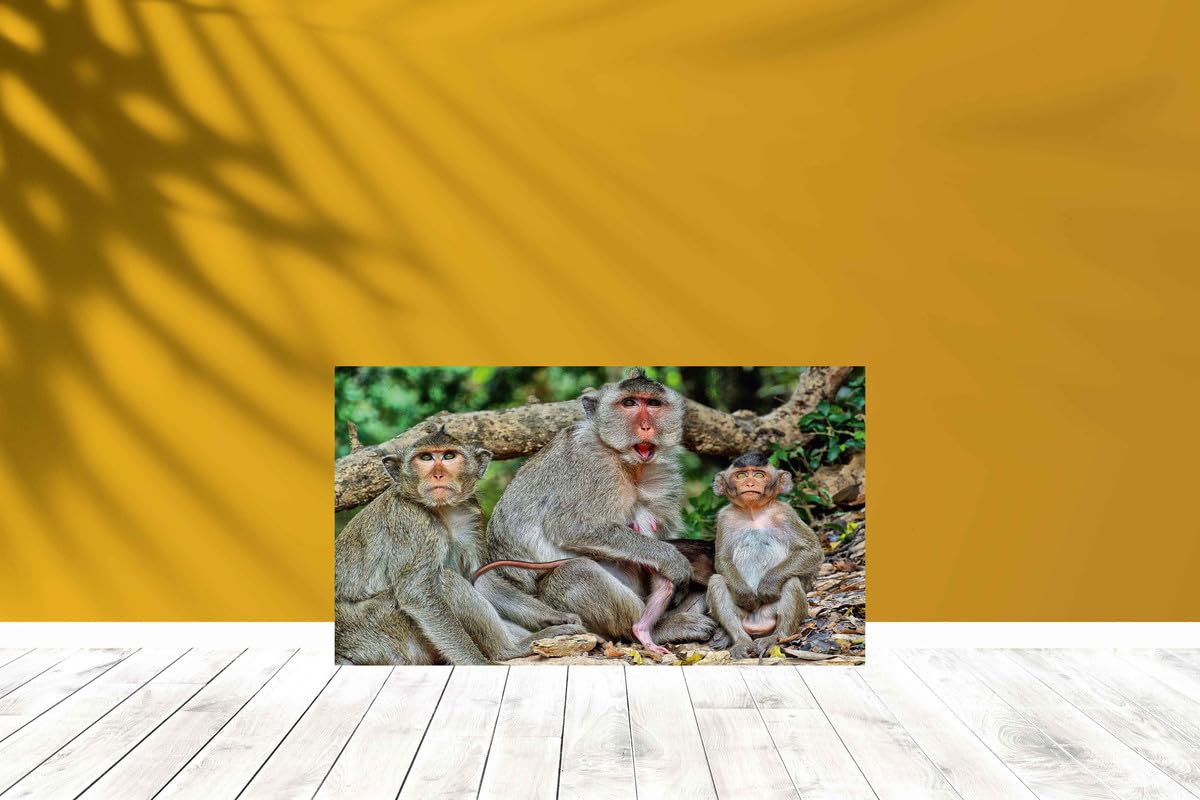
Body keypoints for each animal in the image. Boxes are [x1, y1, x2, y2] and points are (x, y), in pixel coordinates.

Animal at [334, 426, 582, 665]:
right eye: (425, 458)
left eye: (449, 456)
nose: (438, 474)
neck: (442, 510)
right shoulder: (412, 522)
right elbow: (418, 594)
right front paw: (478, 664)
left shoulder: (471, 514)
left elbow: (482, 579)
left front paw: (555, 615)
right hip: (378, 629)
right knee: (448, 581)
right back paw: (508, 650)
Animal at [476, 369, 716, 655]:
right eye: (629, 403)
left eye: (654, 403)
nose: (646, 427)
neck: (628, 464)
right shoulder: (592, 467)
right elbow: (572, 527)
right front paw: (672, 559)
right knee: (577, 571)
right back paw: (653, 629)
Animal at [706, 452, 823, 659]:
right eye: (741, 475)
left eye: (759, 475)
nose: (750, 483)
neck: (753, 513)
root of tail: (757, 623)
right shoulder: (724, 519)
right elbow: (723, 559)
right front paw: (745, 595)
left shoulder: (786, 514)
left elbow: (811, 551)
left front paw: (768, 585)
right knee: (717, 581)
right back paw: (741, 641)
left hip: (775, 613)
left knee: (791, 581)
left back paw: (776, 638)